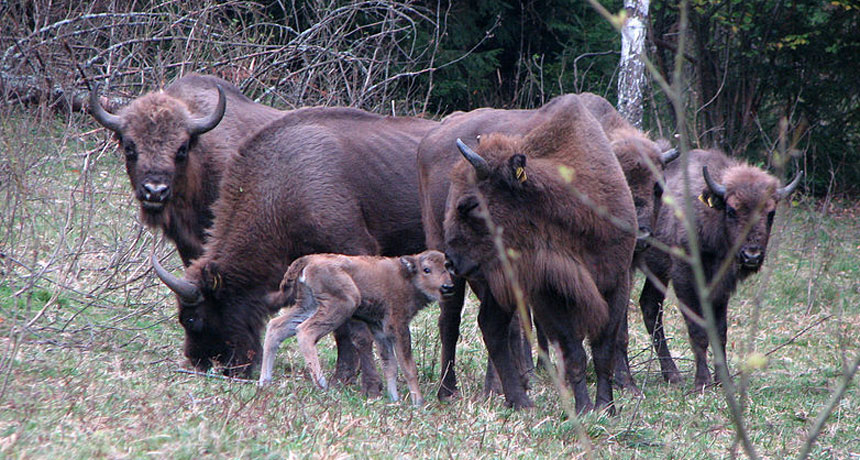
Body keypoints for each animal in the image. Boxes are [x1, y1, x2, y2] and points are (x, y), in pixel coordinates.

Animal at [152, 107, 437, 384]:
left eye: (192, 318)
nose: (200, 364)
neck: (284, 185)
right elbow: (341, 331)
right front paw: (343, 377)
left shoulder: (354, 253)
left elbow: (356, 330)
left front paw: (369, 385)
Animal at [442, 97, 637, 412]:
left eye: (470, 205)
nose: (451, 260)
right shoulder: (550, 293)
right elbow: (574, 353)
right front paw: (584, 408)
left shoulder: (616, 282)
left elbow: (603, 350)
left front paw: (606, 407)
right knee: (492, 327)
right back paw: (522, 401)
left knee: (492, 326)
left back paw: (519, 400)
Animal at [640, 148, 801, 389]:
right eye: (732, 210)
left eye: (771, 214)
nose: (751, 255)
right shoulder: (684, 279)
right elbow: (697, 330)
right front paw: (702, 381)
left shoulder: (722, 287)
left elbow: (720, 332)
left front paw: (724, 380)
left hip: (656, 271)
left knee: (649, 306)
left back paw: (672, 375)